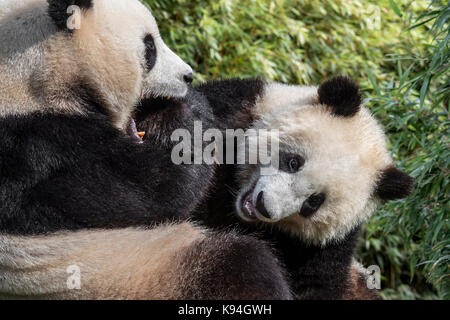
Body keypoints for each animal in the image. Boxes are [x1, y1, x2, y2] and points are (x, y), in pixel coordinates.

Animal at [0, 0, 292, 300]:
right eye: (149, 47)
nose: (188, 76)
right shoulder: (49, 149)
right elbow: (162, 188)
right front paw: (183, 114)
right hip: (136, 271)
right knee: (241, 265)